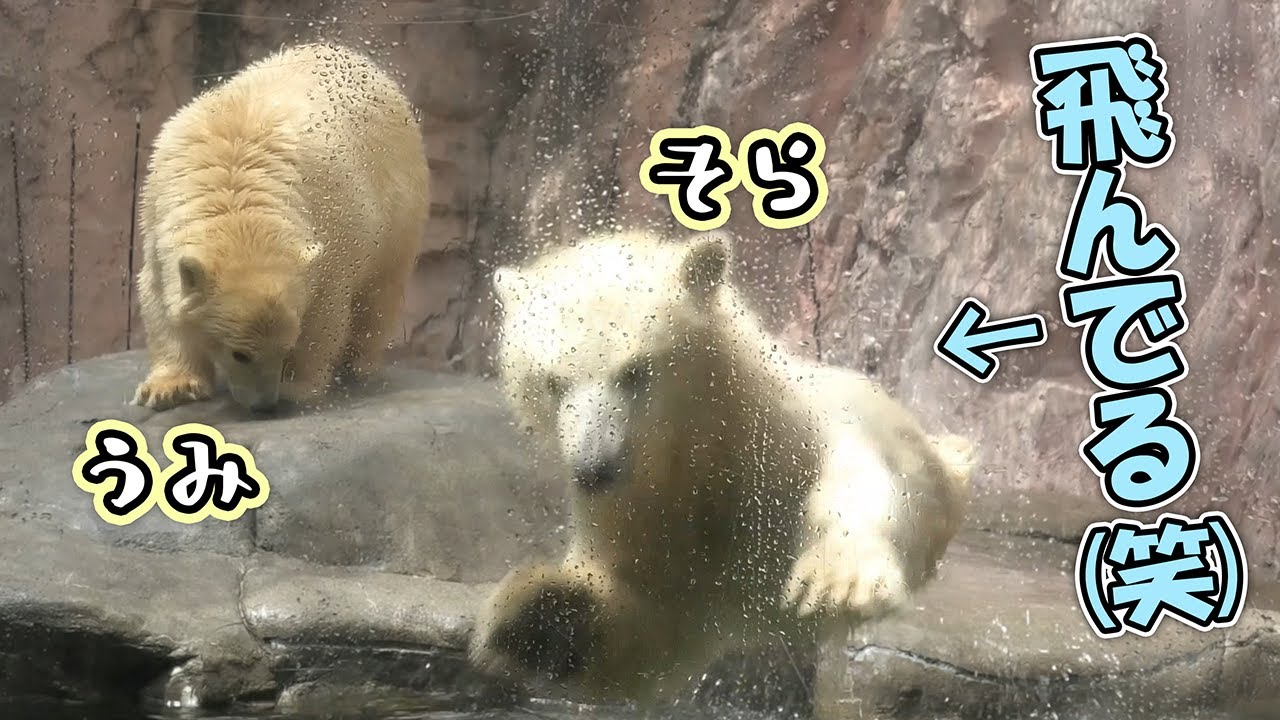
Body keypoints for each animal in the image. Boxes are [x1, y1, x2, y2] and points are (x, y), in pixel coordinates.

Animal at [132, 42, 430, 412]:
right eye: (240, 354)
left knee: (380, 290)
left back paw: (360, 365)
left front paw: (297, 386)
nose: (264, 405)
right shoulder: (160, 213)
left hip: (401, 205)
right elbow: (160, 295)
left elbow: (324, 311)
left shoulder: (331, 233)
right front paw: (170, 388)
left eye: (286, 347)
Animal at [469, 229, 977, 708]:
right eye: (553, 382)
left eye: (635, 371)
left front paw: (837, 582)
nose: (594, 468)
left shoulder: (785, 440)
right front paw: (538, 617)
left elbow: (856, 481)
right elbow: (644, 626)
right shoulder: (643, 520)